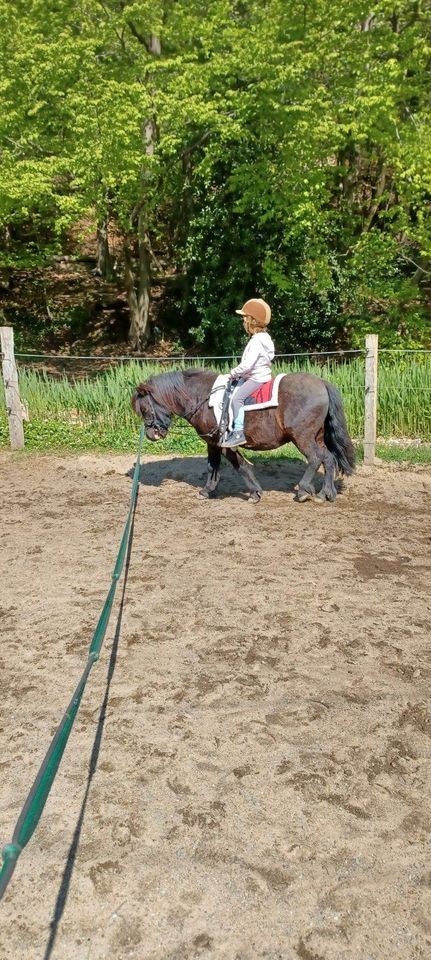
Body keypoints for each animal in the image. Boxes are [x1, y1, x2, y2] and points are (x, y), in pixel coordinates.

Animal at [133, 368, 356, 502]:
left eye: (144, 409)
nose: (152, 434)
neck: (203, 398)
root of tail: (322, 383)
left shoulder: (224, 443)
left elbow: (240, 466)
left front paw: (255, 492)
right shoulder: (213, 443)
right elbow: (212, 466)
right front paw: (208, 490)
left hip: (302, 437)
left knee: (316, 458)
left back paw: (303, 490)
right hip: (317, 436)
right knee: (328, 458)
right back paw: (326, 493)